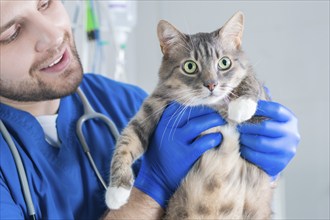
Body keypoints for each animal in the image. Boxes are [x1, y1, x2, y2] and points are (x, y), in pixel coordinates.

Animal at [105, 11, 274, 219]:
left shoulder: (262, 103)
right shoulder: (151, 107)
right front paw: (116, 191)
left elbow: (249, 78)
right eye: (190, 66)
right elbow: (127, 141)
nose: (211, 84)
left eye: (224, 63)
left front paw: (242, 104)